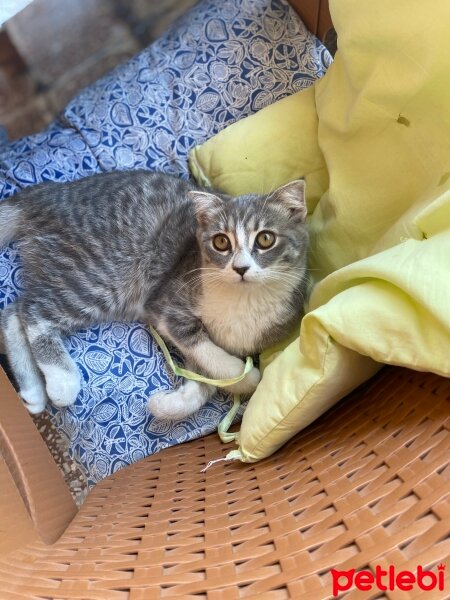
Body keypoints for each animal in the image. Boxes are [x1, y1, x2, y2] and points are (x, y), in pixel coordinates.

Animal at [0, 169, 310, 420]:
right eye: (221, 242)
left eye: (265, 239)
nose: (241, 268)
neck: (243, 300)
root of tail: (52, 192)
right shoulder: (165, 305)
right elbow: (210, 354)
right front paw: (248, 378)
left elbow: (206, 377)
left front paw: (168, 405)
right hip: (99, 276)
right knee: (32, 312)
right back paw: (62, 382)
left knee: (13, 309)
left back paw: (33, 391)